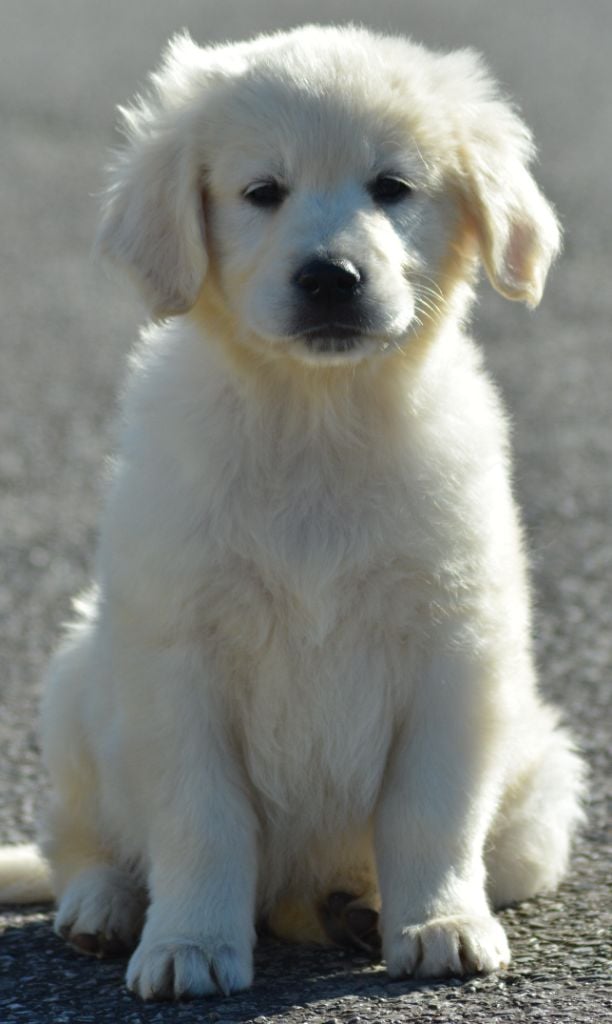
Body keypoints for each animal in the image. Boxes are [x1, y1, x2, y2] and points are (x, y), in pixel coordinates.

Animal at [0, 22, 585, 999]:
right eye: (262, 193)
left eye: (393, 187)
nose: (331, 277)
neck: (315, 418)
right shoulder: (178, 655)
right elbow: (202, 820)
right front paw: (190, 944)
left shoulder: (454, 651)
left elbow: (428, 811)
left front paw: (439, 922)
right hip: (78, 682)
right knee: (78, 841)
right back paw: (105, 909)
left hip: (541, 784)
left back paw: (359, 907)